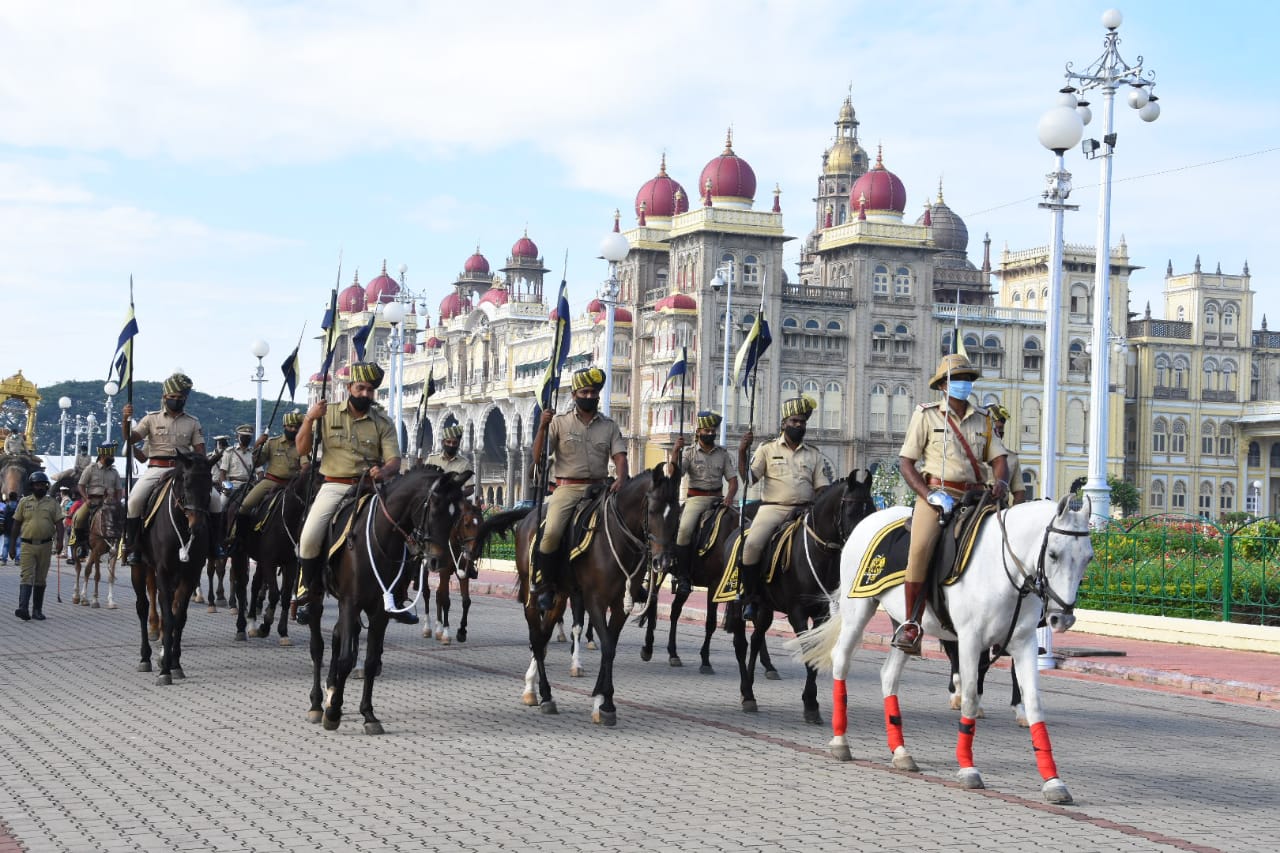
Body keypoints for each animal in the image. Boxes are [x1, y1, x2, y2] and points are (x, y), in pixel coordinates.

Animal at [131, 450, 213, 686]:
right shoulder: (164, 572)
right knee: (142, 606)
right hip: (139, 567)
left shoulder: (190, 574)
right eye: (186, 483)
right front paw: (165, 670)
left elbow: (179, 617)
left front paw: (174, 663)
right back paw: (145, 657)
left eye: (210, 484)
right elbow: (168, 618)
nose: (198, 526)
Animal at [305, 466, 471, 732]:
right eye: (434, 508)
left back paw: (331, 689)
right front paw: (333, 713)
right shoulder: (350, 603)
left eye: (456, 515)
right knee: (317, 645)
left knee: (337, 635)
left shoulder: (379, 610)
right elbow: (346, 658)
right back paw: (317, 704)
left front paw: (368, 714)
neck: (379, 539)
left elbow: (371, 660)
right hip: (317, 594)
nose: (439, 561)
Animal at [514, 461, 686, 727]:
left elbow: (611, 647)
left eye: (677, 512)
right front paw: (605, 703)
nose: (663, 561)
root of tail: (528, 518)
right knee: (536, 635)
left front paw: (602, 700)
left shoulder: (620, 605)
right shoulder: (594, 600)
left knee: (542, 636)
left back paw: (535, 688)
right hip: (531, 591)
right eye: (653, 509)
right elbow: (606, 645)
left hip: (560, 596)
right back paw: (544, 693)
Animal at [727, 468, 875, 722]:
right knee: (740, 644)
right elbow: (807, 650)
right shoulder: (797, 613)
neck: (820, 554)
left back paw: (752, 687)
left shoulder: (822, 614)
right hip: (737, 602)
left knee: (756, 639)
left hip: (765, 607)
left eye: (872, 509)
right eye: (851, 510)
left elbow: (813, 653)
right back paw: (746, 693)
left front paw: (811, 702)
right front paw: (811, 703)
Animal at [793, 494, 1095, 799]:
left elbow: (1033, 703)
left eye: (1089, 558)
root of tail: (869, 520)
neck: (1004, 572)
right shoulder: (970, 640)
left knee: (889, 675)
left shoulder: (1024, 643)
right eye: (1053, 554)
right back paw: (840, 741)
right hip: (858, 608)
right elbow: (970, 698)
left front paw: (1053, 780)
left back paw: (900, 751)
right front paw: (968, 768)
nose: (1062, 618)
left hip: (902, 623)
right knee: (841, 660)